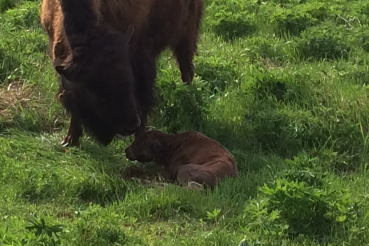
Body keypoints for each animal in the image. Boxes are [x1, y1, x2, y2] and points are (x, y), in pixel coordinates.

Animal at [41, 0, 206, 146]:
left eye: (128, 81)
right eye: (93, 93)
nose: (130, 125)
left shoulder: (140, 56)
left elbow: (142, 97)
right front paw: (70, 140)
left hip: (187, 32)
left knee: (186, 70)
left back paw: (189, 97)